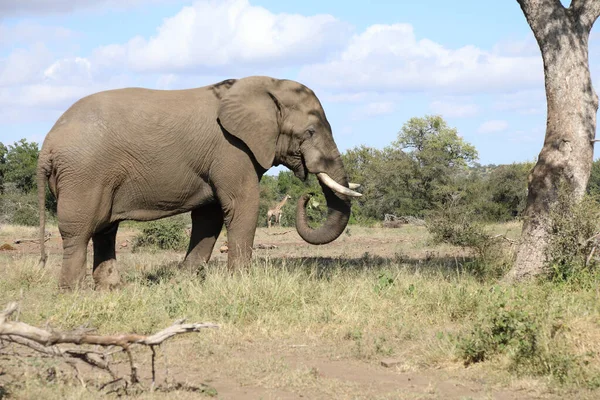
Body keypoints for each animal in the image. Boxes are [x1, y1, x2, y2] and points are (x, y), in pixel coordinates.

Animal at [37, 75, 364, 290]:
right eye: (310, 132)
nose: (307, 196)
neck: (266, 85)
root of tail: (46, 147)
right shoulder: (231, 148)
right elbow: (242, 205)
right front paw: (240, 282)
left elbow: (210, 215)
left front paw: (184, 279)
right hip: (84, 173)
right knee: (80, 230)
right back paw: (73, 293)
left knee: (105, 229)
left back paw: (111, 288)